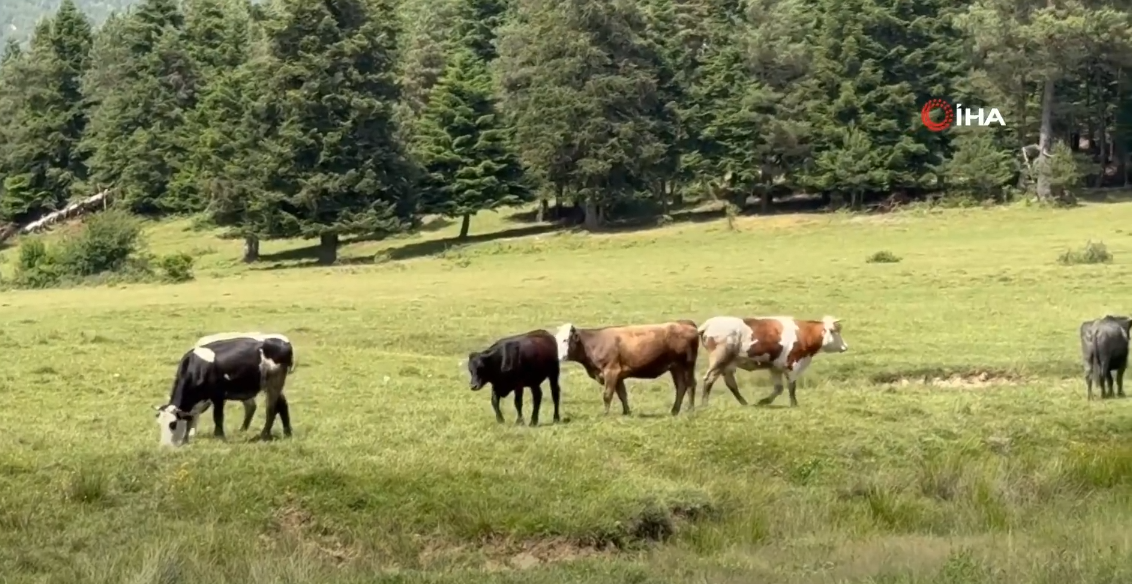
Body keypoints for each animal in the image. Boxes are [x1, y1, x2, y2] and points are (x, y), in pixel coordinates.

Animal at [155, 335, 296, 445]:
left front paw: (219, 437)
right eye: (159, 423)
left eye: (172, 424)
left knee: (271, 409)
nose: (165, 445)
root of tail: (282, 341)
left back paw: (264, 435)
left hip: (274, 382)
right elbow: (192, 419)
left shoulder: (218, 396)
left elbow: (218, 417)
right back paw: (287, 432)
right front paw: (186, 440)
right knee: (282, 405)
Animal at [554, 321, 701, 416]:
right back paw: (675, 410)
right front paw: (627, 412)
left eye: (565, 340)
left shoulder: (611, 371)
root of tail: (685, 323)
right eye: (555, 340)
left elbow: (607, 395)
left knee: (690, 385)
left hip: (687, 365)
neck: (593, 343)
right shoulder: (618, 376)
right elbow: (622, 394)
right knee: (681, 386)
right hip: (676, 367)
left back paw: (690, 409)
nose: (558, 356)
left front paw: (605, 414)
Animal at [697, 314, 851, 405]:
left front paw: (764, 401)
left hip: (727, 365)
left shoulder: (775, 368)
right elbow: (791, 387)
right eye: (835, 331)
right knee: (709, 379)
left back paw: (744, 403)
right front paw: (794, 404)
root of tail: (708, 324)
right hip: (719, 360)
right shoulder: (793, 365)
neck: (803, 334)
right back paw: (704, 404)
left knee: (731, 384)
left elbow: (779, 388)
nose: (845, 346)